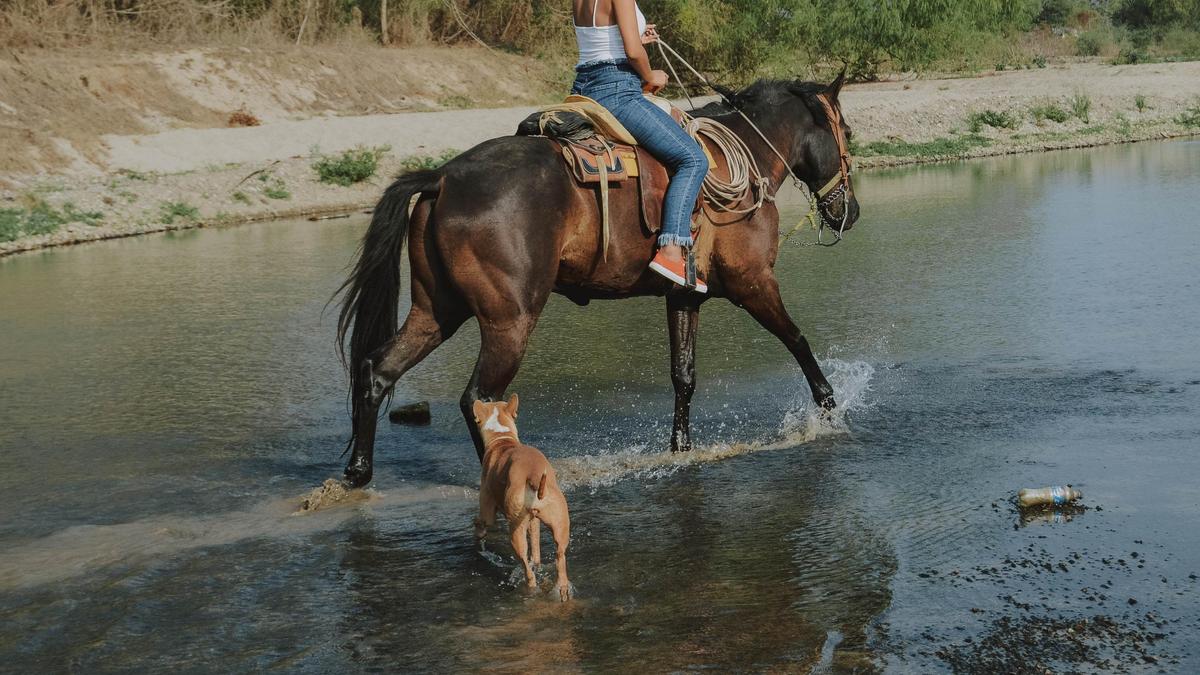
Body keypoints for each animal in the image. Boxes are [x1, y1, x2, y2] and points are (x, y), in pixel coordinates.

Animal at [338, 73, 859, 482]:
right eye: (848, 132)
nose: (849, 212)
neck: (747, 157)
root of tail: (443, 178)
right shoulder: (753, 283)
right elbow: (797, 340)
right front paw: (830, 409)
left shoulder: (685, 296)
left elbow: (684, 375)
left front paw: (681, 448)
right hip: (510, 321)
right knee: (478, 398)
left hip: (437, 311)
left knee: (378, 370)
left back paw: (359, 469)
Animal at [472, 393, 571, 598]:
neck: (502, 439)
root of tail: (533, 475)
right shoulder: (534, 522)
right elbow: (536, 548)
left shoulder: (487, 507)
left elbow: (482, 521)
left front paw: (478, 532)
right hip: (559, 524)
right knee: (559, 557)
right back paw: (562, 588)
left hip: (515, 533)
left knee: (527, 568)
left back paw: (529, 587)